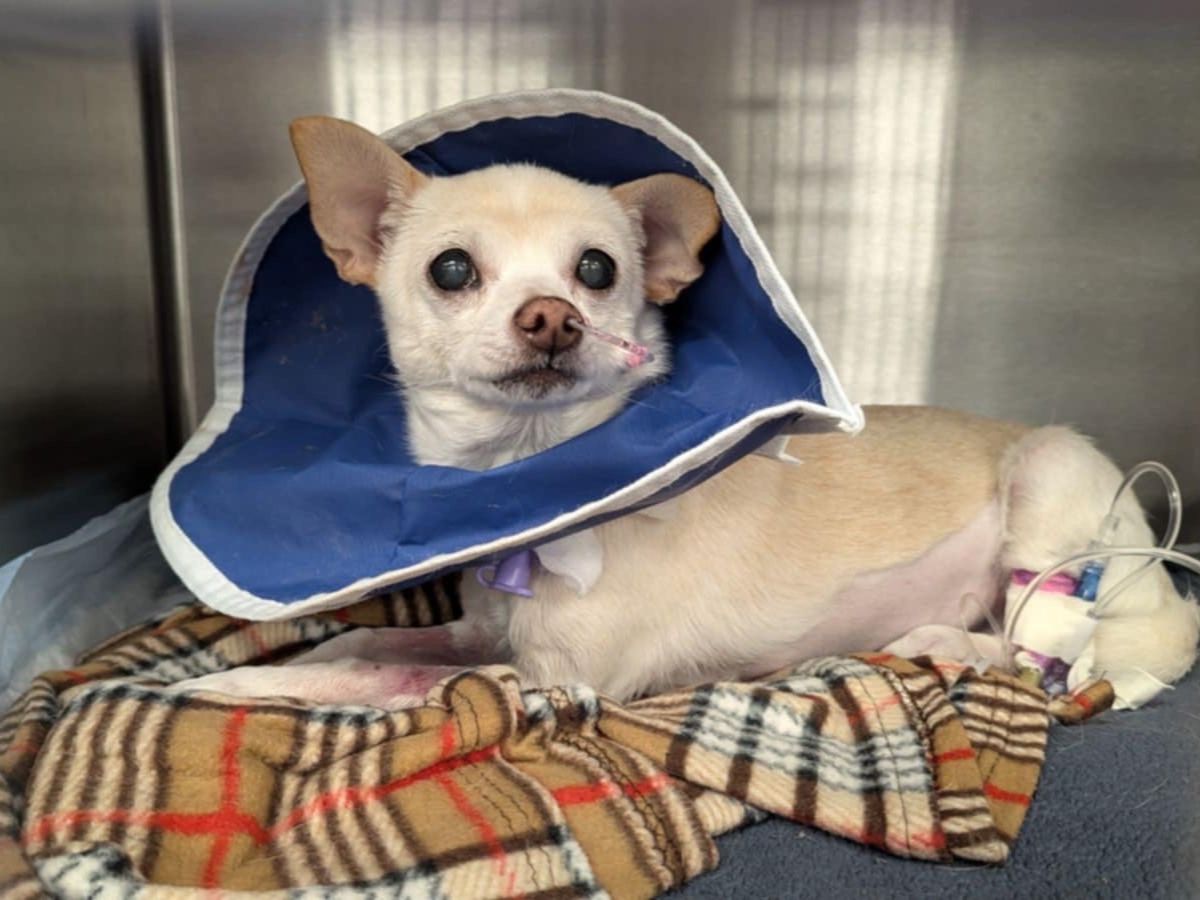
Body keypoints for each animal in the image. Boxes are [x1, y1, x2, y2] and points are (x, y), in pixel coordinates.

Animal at [176, 116, 1198, 710]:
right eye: (452, 269)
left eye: (597, 268)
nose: (552, 315)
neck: (525, 481)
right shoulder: (488, 636)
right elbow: (366, 639)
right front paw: (277, 664)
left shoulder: (548, 681)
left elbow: (373, 675)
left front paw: (238, 681)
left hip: (1049, 488)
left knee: (1056, 658)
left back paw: (945, 640)